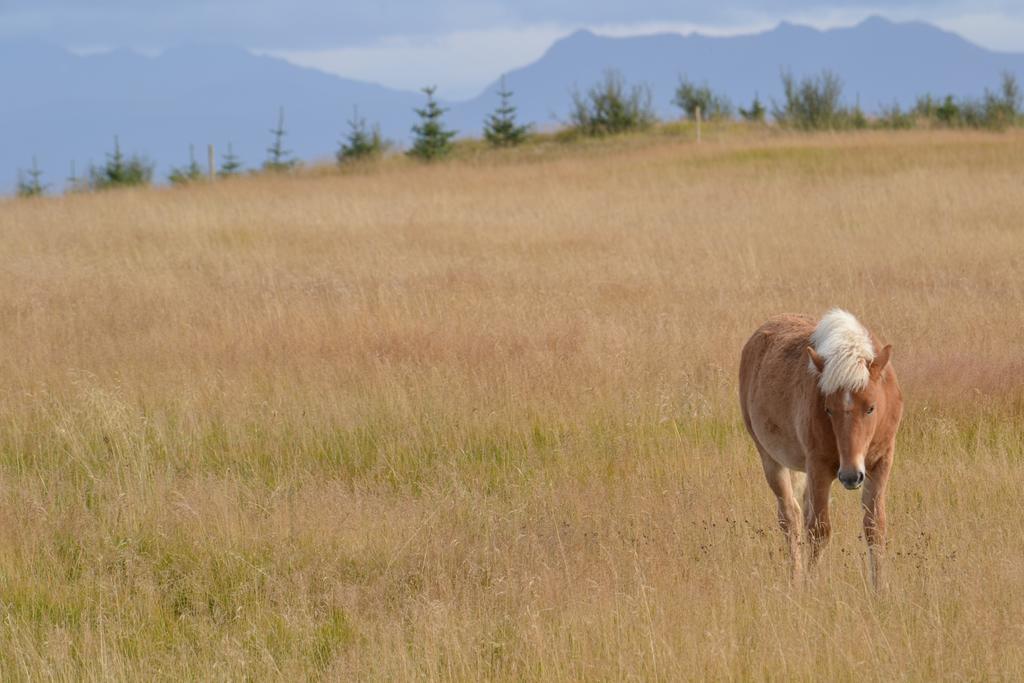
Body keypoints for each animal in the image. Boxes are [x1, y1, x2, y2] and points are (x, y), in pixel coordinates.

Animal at [737, 313, 905, 585]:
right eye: (828, 409)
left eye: (871, 408)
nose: (851, 476)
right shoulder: (819, 466)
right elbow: (819, 530)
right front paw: (812, 584)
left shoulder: (880, 463)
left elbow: (875, 527)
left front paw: (880, 587)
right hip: (772, 460)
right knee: (790, 517)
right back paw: (796, 577)